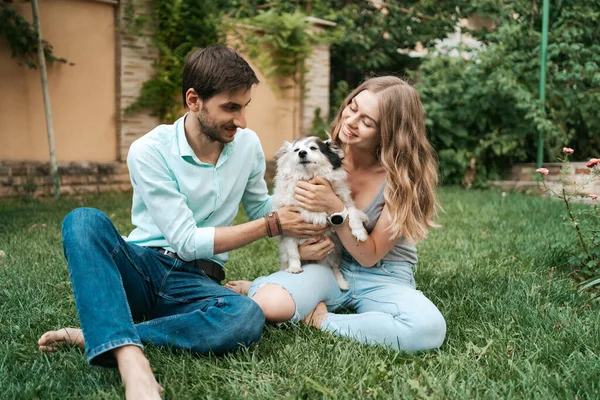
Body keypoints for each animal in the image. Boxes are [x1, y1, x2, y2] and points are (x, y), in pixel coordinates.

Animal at [274, 136, 368, 290]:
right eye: (296, 150)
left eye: (313, 148)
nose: (302, 153)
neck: (308, 178)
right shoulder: (290, 228)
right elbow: (293, 251)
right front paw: (294, 268)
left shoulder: (345, 202)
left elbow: (352, 213)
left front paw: (360, 233)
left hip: (334, 254)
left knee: (335, 268)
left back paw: (342, 283)